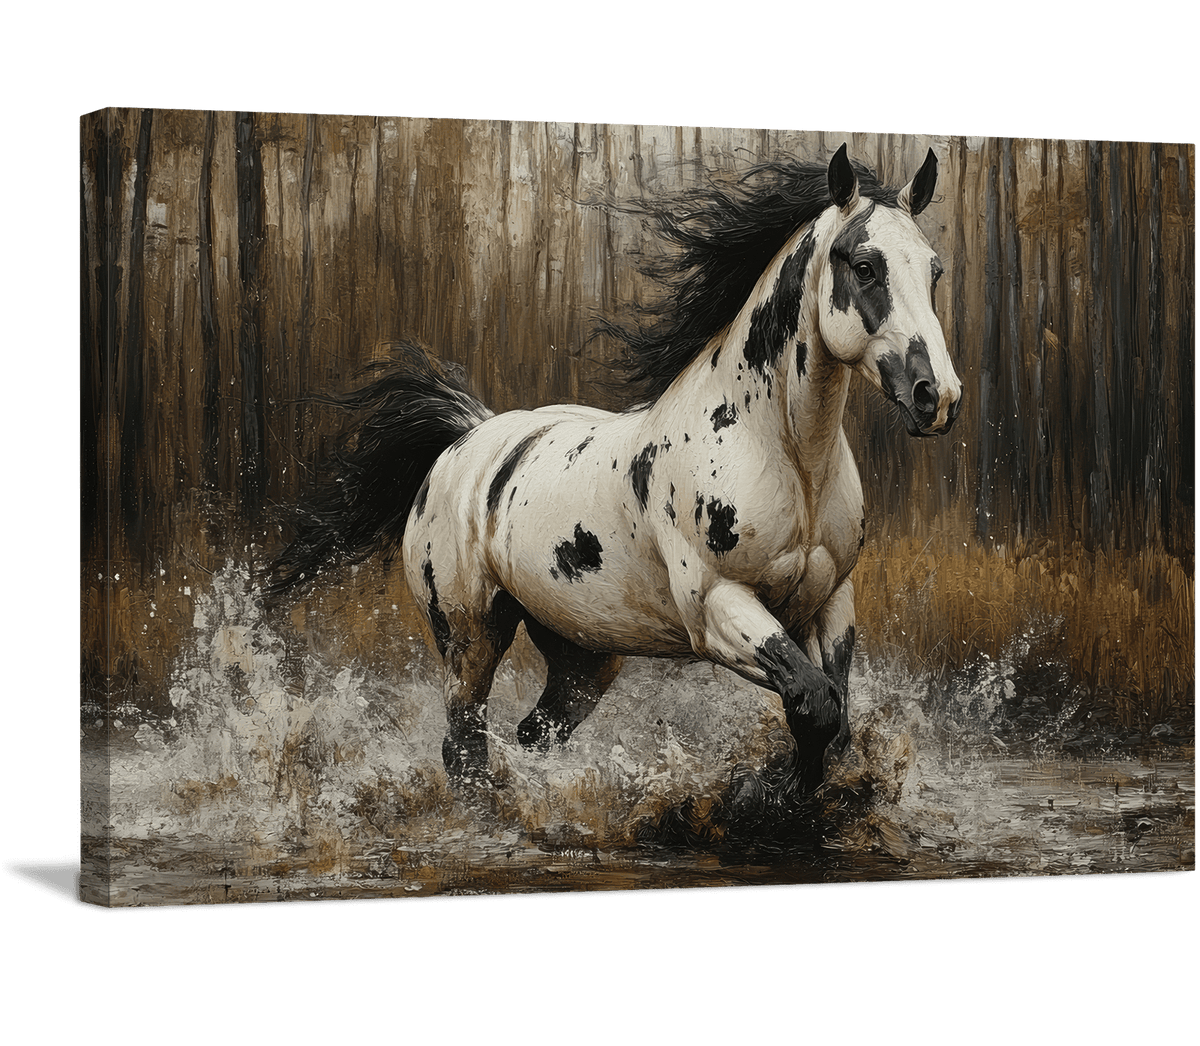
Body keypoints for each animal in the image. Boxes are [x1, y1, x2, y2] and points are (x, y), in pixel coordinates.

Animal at [267, 145, 963, 812]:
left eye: (933, 270)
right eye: (864, 265)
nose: (937, 397)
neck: (784, 454)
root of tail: (467, 436)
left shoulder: (832, 600)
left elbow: (833, 717)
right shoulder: (719, 608)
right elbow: (816, 706)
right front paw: (767, 794)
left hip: (584, 657)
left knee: (534, 732)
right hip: (470, 639)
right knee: (463, 747)